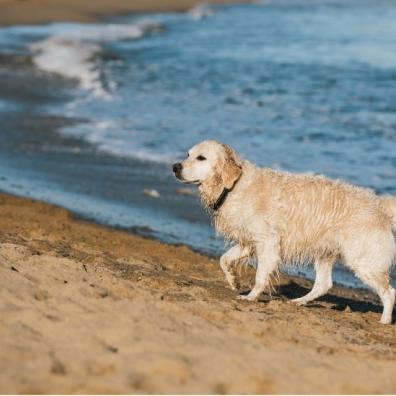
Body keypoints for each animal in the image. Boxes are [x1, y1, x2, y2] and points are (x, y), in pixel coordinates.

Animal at [172, 141, 396, 324]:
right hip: (325, 252)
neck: (233, 186)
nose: (175, 167)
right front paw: (234, 280)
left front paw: (251, 297)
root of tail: (380, 206)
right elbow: (223, 259)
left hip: (363, 260)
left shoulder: (267, 242)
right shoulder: (250, 241)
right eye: (188, 154)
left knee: (389, 292)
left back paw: (384, 321)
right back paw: (299, 301)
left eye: (201, 158)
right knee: (324, 284)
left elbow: (260, 276)